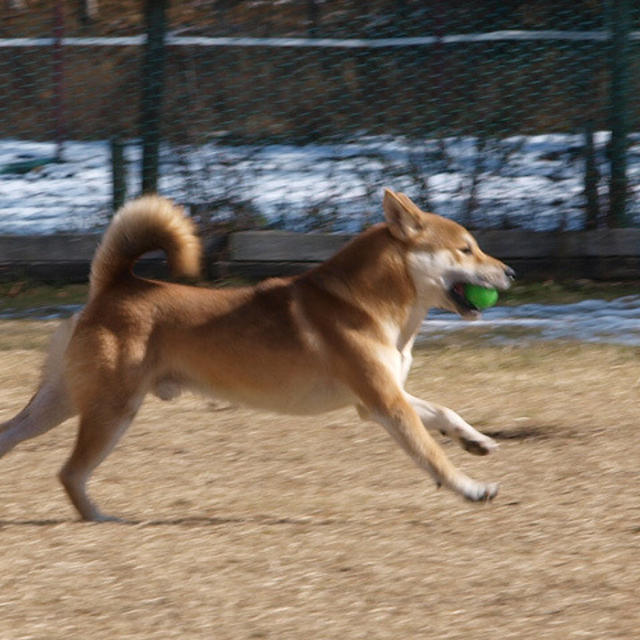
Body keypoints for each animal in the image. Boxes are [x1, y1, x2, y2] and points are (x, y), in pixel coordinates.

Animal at [0, 189, 512, 520]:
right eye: (466, 249)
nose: (510, 271)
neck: (368, 304)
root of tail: (114, 286)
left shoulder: (378, 401)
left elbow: (444, 412)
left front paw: (475, 440)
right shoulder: (386, 404)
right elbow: (432, 455)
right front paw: (472, 489)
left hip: (63, 400)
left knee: (12, 435)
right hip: (110, 409)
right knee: (71, 472)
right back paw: (100, 517)